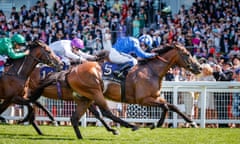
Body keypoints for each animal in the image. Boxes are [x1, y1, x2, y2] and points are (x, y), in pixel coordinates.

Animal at [27, 43, 202, 139]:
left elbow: (173, 106)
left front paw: (191, 121)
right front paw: (156, 124)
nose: (199, 67)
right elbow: (166, 107)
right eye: (187, 54)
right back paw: (130, 126)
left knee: (75, 117)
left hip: (86, 97)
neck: (151, 70)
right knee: (106, 112)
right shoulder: (143, 99)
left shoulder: (156, 97)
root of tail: (71, 71)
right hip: (95, 92)